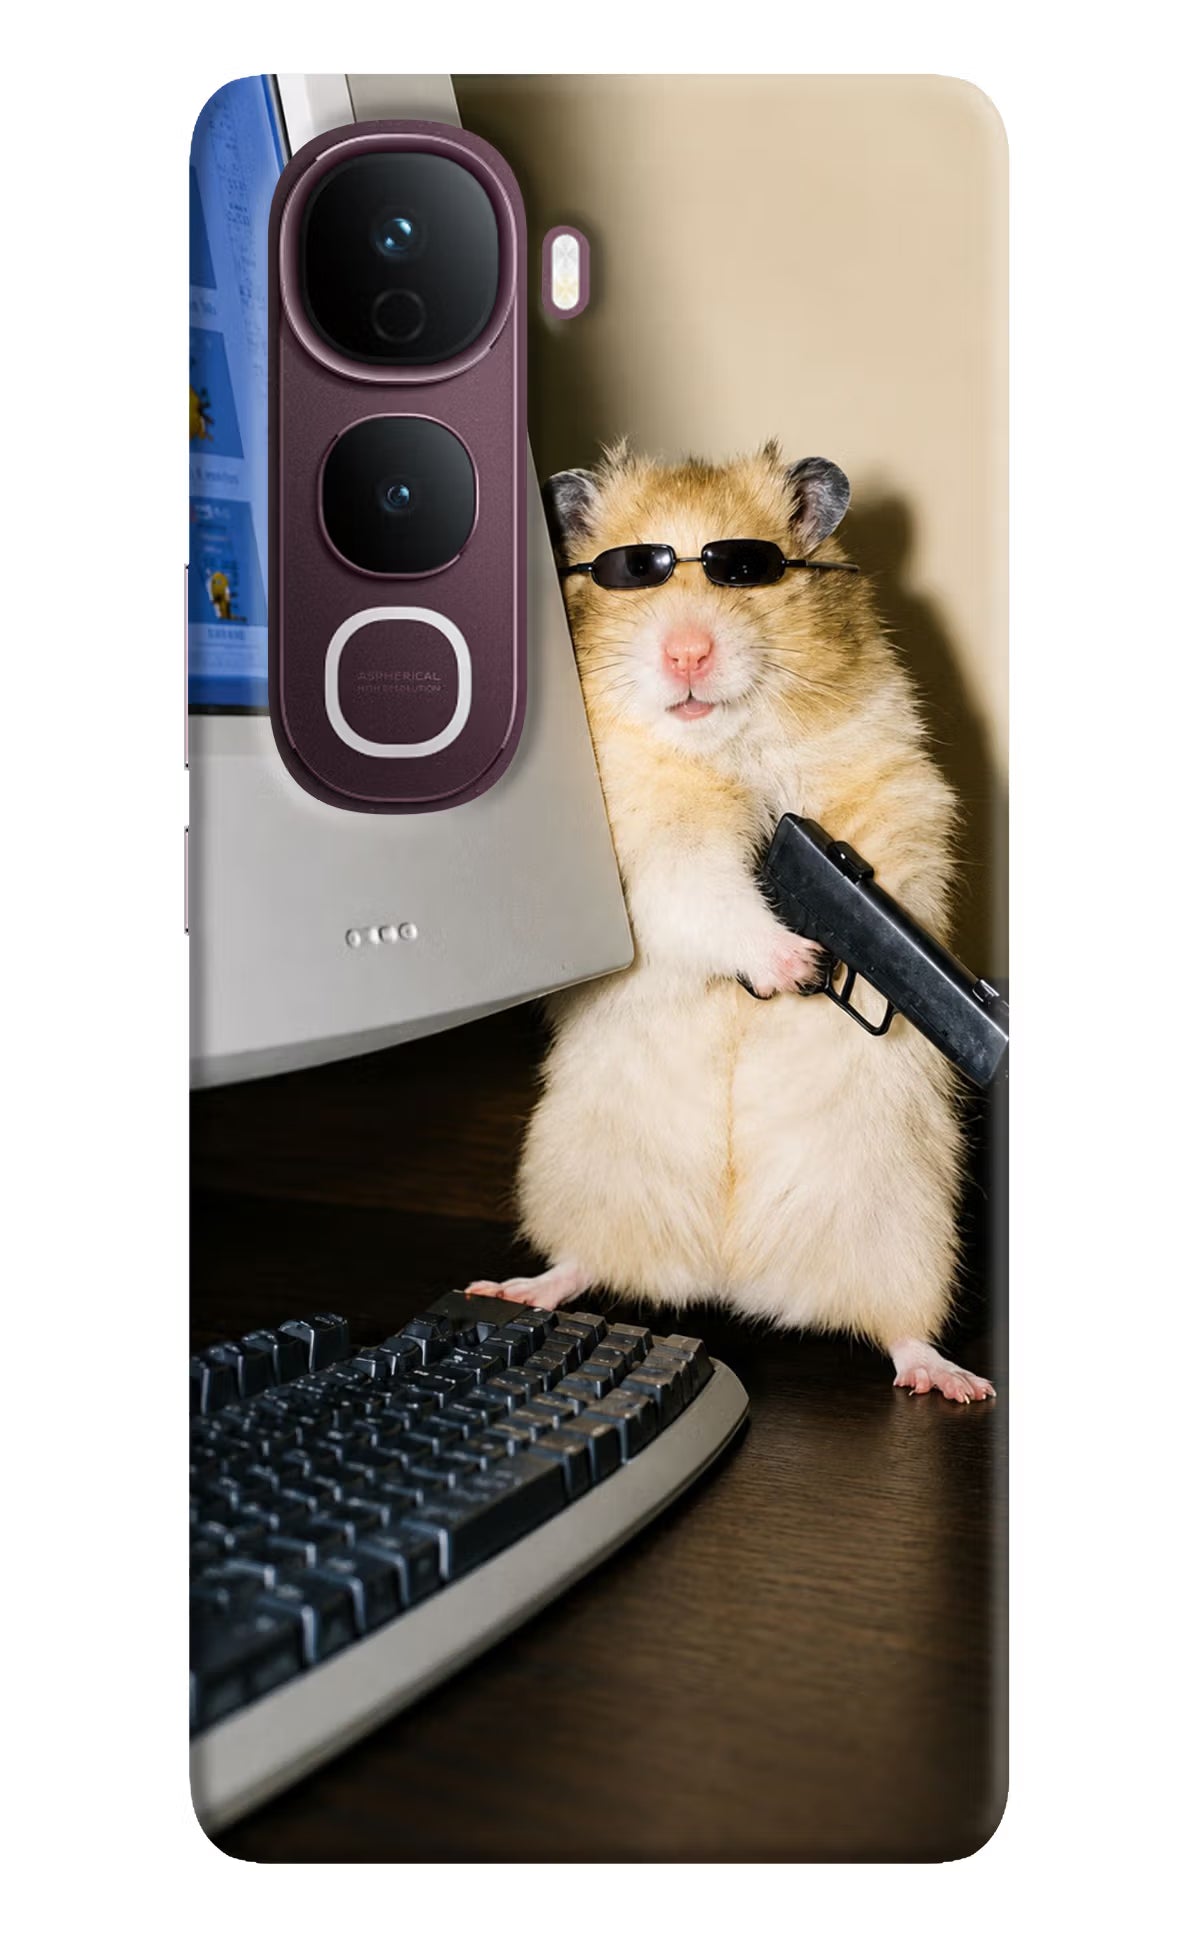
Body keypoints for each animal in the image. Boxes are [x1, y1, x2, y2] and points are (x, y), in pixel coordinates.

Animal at [468, 442, 994, 1402]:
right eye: (633, 572)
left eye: (745, 570)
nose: (686, 653)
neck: (724, 746)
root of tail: (730, 1276)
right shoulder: (649, 854)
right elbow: (707, 896)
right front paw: (796, 964)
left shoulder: (896, 790)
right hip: (579, 1176)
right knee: (582, 1263)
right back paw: (515, 1288)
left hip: (908, 1229)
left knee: (900, 1329)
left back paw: (953, 1381)